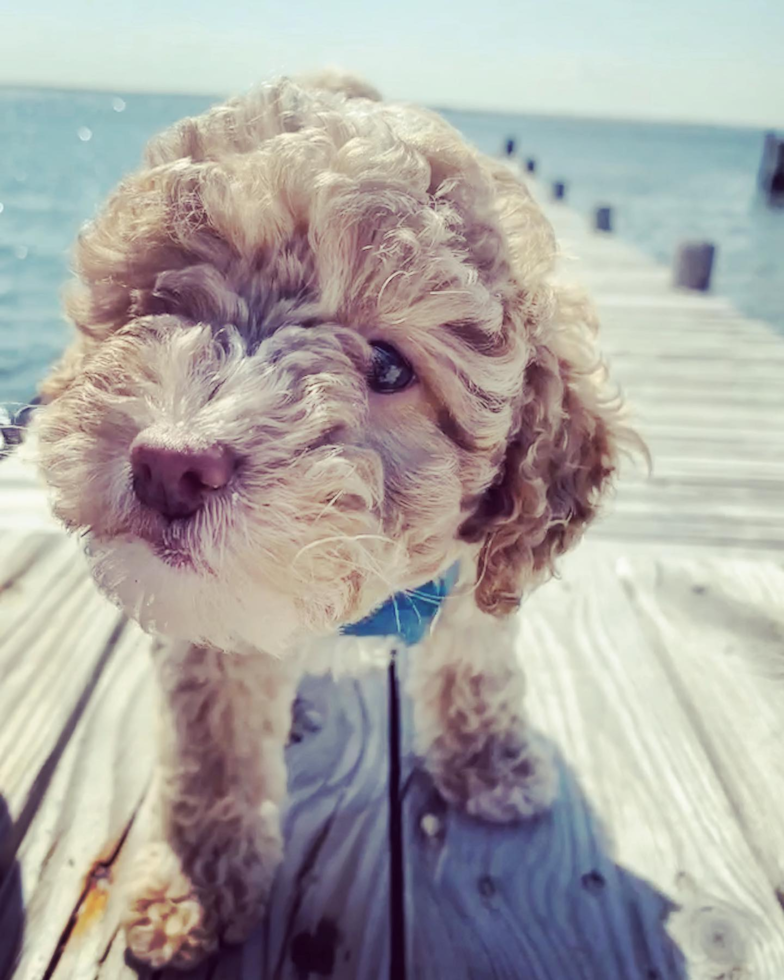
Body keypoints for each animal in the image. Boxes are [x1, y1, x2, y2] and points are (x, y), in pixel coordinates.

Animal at [32, 74, 632, 964]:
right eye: (164, 304)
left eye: (388, 365)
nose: (169, 464)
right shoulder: (203, 635)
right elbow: (214, 751)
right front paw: (196, 889)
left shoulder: (473, 576)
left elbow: (473, 659)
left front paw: (489, 757)